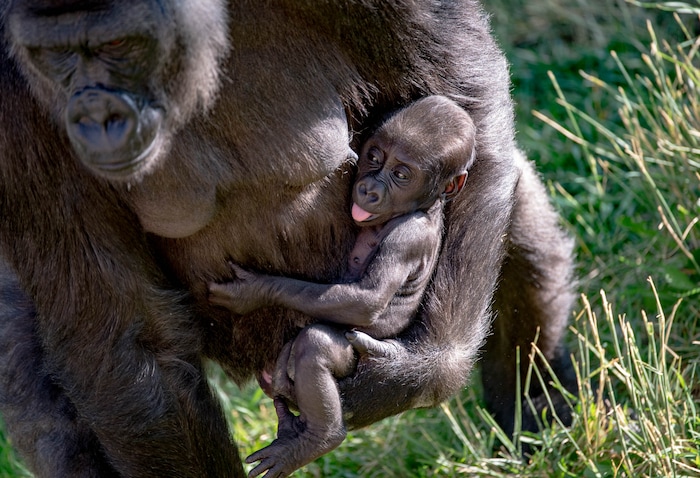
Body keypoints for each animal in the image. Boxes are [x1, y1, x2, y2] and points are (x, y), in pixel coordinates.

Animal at [209, 95, 476, 478]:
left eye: (401, 174)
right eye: (374, 157)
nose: (369, 189)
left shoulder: (406, 237)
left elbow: (365, 300)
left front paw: (253, 291)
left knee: (316, 345)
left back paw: (319, 437)